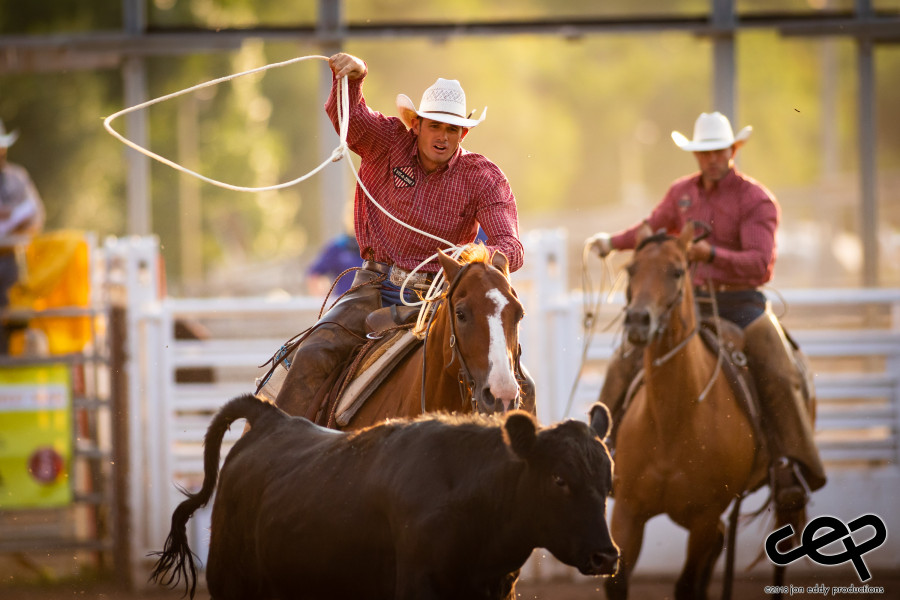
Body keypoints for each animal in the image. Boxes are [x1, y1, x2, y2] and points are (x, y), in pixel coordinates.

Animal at [604, 223, 800, 600]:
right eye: (632, 269)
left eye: (677, 271)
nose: (637, 320)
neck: (671, 421)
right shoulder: (626, 512)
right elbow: (616, 581)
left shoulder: (704, 518)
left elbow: (686, 586)